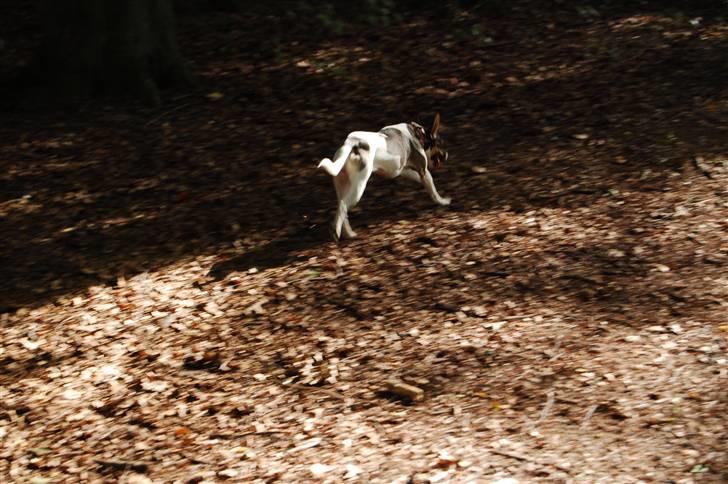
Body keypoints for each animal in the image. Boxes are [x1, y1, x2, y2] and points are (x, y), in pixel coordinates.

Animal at [318, 114, 450, 242]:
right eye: (440, 143)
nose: (447, 155)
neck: (419, 134)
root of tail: (353, 143)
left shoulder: (403, 171)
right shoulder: (424, 171)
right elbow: (432, 188)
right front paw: (443, 201)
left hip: (342, 184)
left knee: (342, 206)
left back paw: (349, 233)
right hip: (359, 187)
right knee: (343, 206)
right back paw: (336, 232)